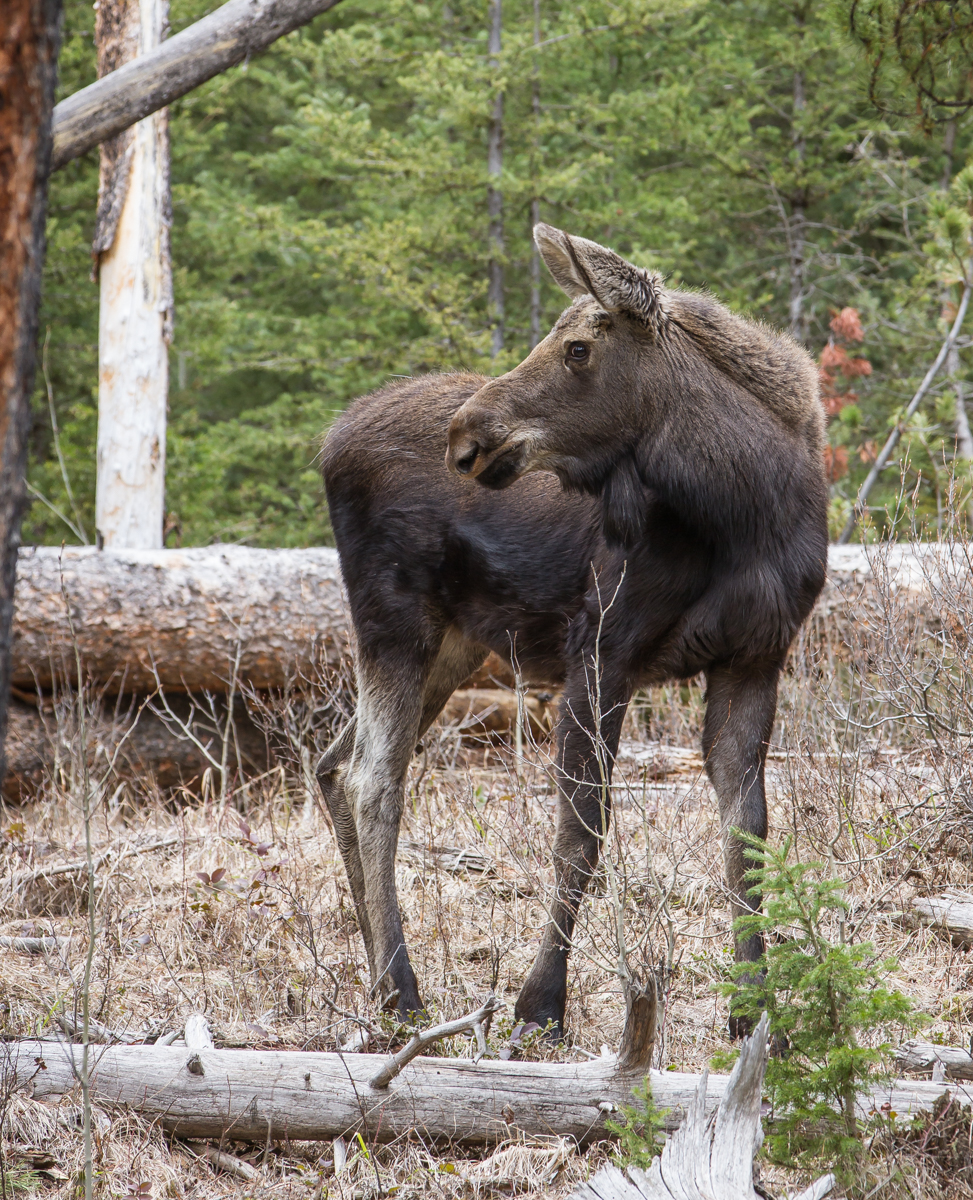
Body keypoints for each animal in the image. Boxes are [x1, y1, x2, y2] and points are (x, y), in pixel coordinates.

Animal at [317, 224, 828, 1039]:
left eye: (579, 348)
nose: (466, 436)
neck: (746, 512)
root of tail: (329, 443)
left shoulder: (755, 656)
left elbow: (747, 833)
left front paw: (756, 1014)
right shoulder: (601, 648)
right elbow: (581, 831)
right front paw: (539, 1005)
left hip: (453, 641)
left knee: (334, 767)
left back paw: (378, 982)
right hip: (394, 620)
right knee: (374, 781)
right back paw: (403, 991)